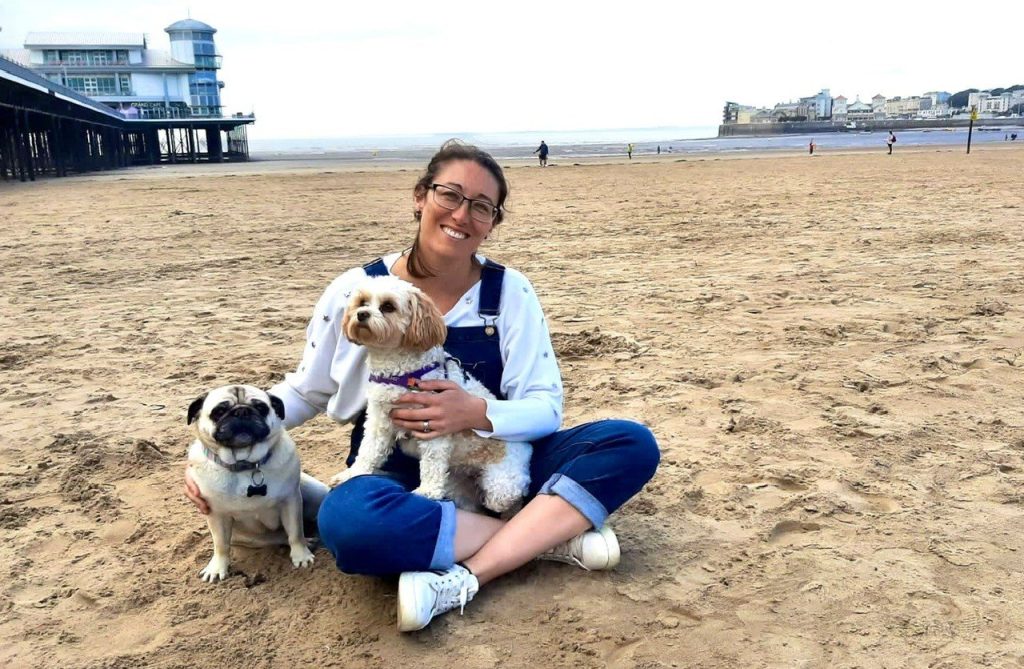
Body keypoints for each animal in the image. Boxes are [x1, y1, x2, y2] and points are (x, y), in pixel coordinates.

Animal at [327, 274, 532, 512]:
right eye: (362, 302)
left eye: (388, 306)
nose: (361, 314)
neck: (399, 370)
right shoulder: (379, 420)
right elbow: (368, 450)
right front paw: (352, 474)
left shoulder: (434, 425)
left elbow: (432, 462)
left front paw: (427, 491)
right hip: (458, 487)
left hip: (501, 487)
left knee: (508, 503)